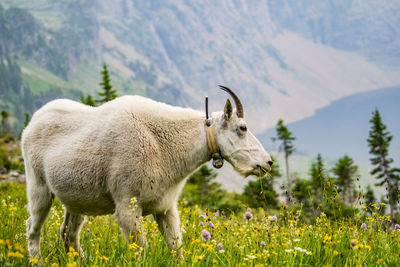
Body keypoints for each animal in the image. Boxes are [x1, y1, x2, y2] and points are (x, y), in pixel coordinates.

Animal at [21, 86, 272, 260]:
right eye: (242, 128)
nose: (268, 163)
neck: (164, 143)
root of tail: (31, 123)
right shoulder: (127, 205)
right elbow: (142, 251)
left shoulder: (166, 207)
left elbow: (176, 248)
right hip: (38, 185)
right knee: (33, 228)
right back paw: (37, 260)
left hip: (76, 200)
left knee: (68, 234)